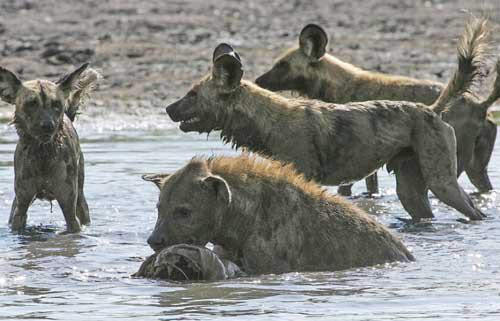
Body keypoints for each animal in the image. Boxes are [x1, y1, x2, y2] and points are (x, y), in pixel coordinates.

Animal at [165, 18, 488, 222]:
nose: (167, 108)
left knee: (475, 211)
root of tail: (431, 109)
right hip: (413, 191)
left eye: (193, 94)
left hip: (442, 183)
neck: (265, 120)